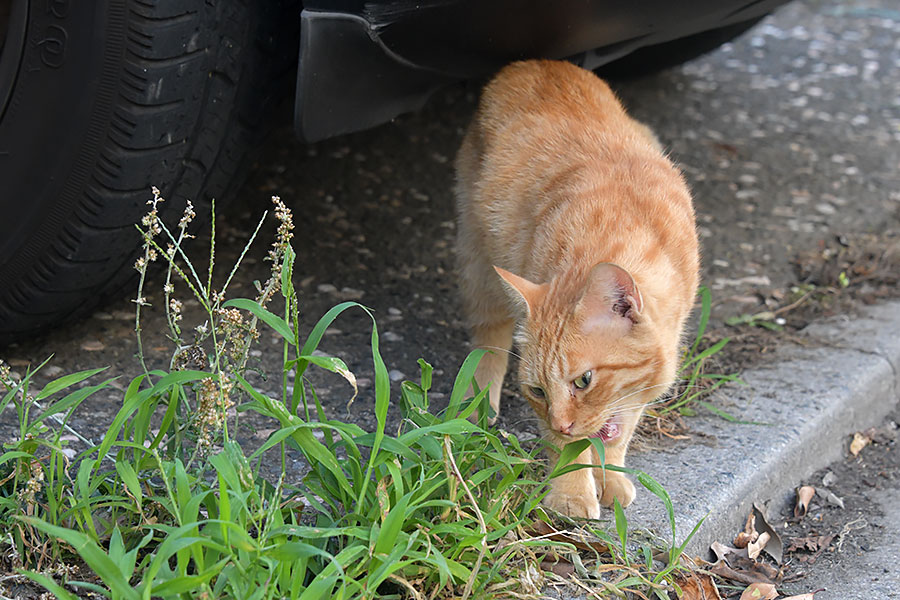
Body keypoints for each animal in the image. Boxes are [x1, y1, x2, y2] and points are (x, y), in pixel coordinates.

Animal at [454, 62, 700, 520]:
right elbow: (569, 450)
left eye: (584, 381)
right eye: (537, 391)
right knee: (489, 340)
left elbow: (620, 427)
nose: (560, 422)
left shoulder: (645, 378)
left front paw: (611, 476)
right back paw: (477, 405)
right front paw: (572, 495)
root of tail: (534, 63)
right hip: (479, 263)